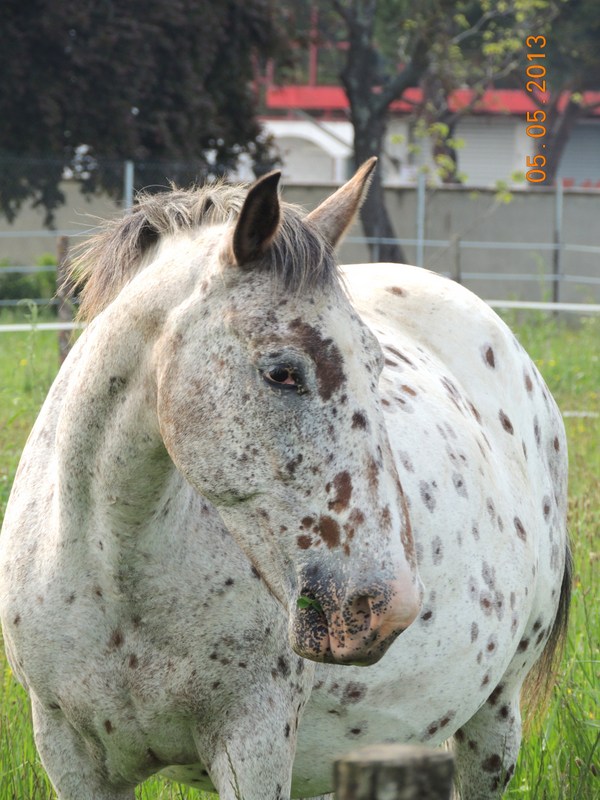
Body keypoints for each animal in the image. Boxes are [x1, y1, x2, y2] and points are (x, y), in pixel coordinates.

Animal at [0, 159, 572, 796]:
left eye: (378, 367)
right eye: (281, 372)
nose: (386, 608)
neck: (113, 569)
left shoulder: (254, 742)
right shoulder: (68, 753)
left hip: (494, 719)